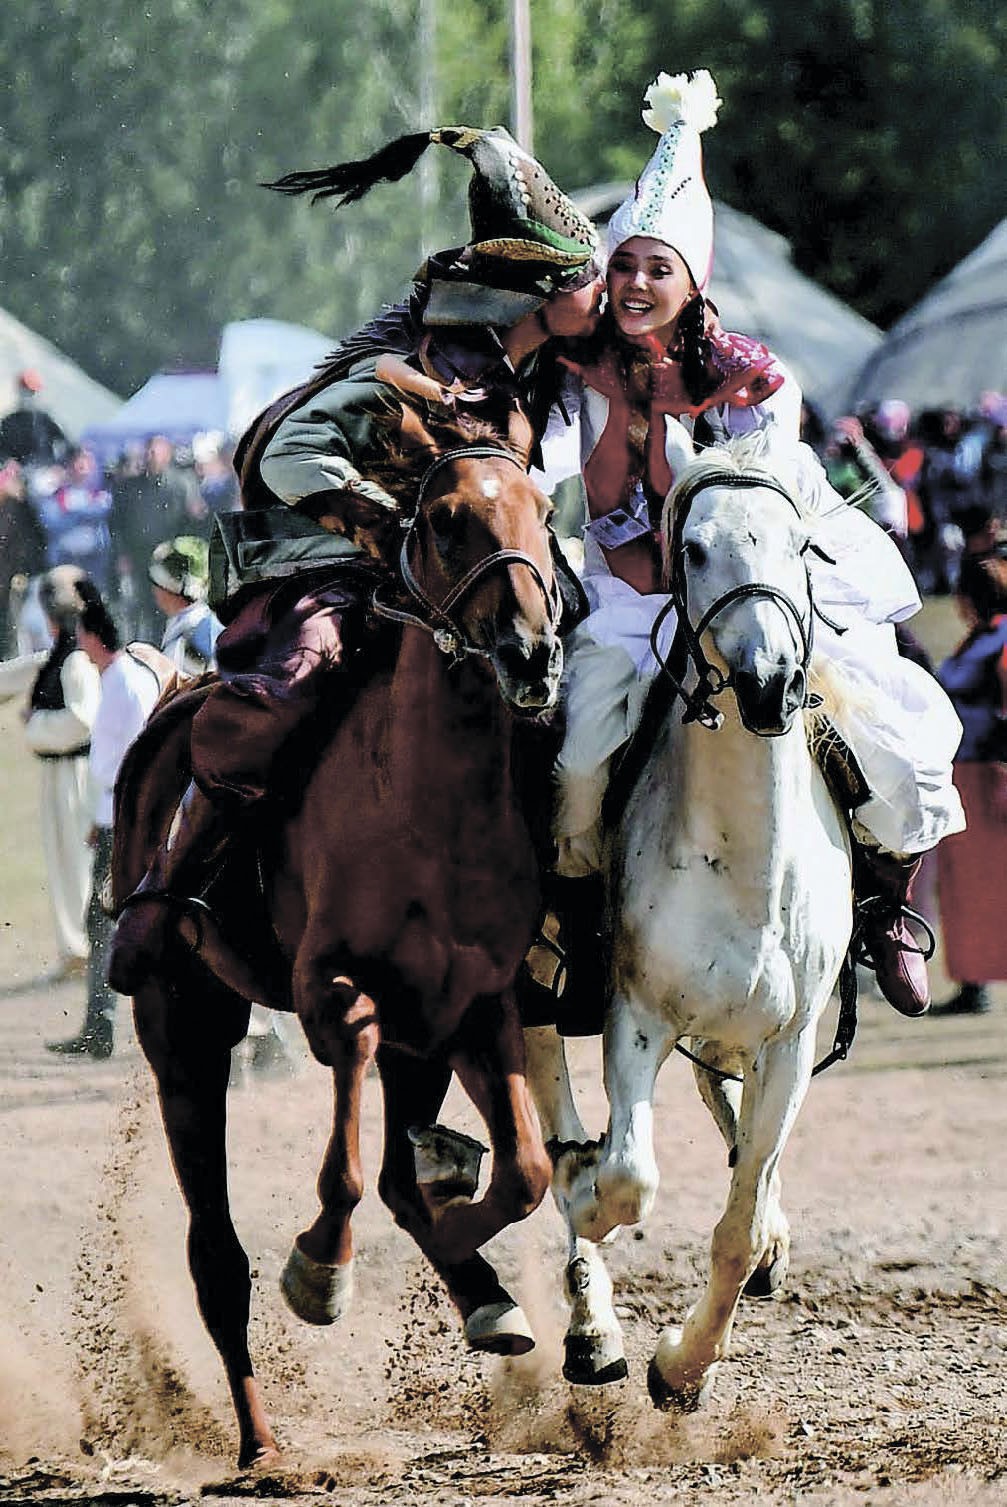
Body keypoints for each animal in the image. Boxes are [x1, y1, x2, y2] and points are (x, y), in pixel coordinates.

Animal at [111, 422, 567, 1468]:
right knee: (216, 1250)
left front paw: (479, 1273)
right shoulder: (332, 989)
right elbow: (353, 1154)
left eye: (543, 510)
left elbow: (521, 1169)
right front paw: (321, 1266)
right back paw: (257, 1443)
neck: (425, 802)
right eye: (445, 521)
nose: (531, 653)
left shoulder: (474, 1003)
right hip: (181, 1022)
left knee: (404, 1175)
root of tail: (181, 696)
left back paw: (478, 1288)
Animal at [525, 437, 854, 1406]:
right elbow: (625, 1176)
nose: (770, 683)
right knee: (547, 1087)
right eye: (695, 549)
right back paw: (590, 1328)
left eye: (801, 546)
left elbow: (737, 1227)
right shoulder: (636, 1017)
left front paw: (681, 1368)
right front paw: (583, 1177)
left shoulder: (789, 1042)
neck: (745, 862)